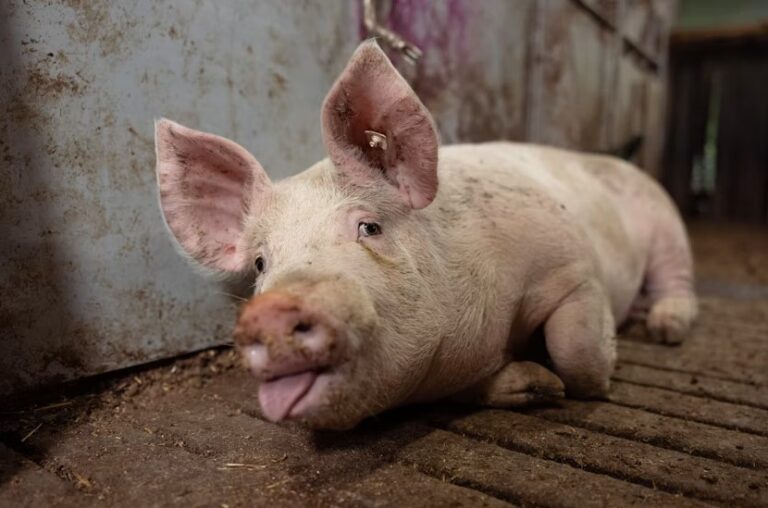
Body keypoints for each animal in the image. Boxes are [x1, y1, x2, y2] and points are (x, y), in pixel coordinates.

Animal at [154, 40, 697, 430]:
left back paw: (663, 327)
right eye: (261, 262)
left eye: (368, 227)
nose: (270, 310)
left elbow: (577, 350)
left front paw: (582, 378)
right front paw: (536, 384)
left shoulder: (572, 267)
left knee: (677, 277)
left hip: (666, 220)